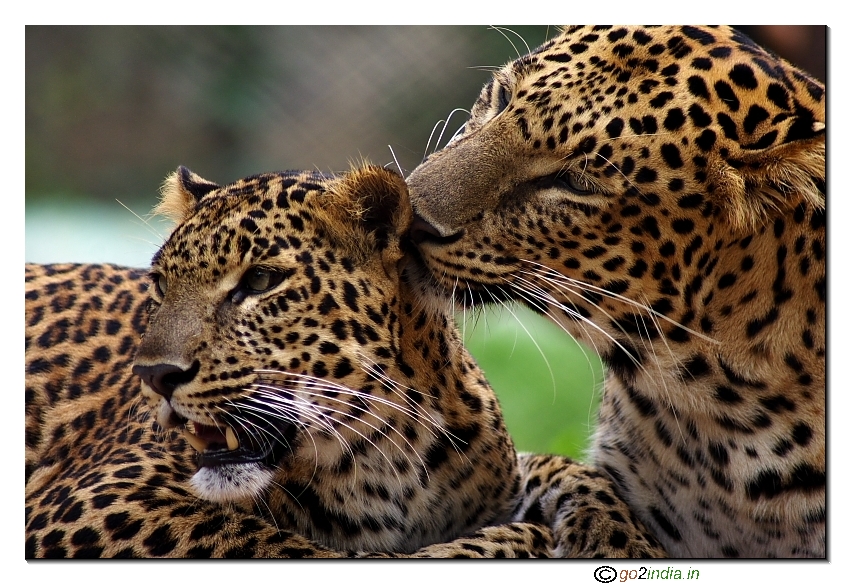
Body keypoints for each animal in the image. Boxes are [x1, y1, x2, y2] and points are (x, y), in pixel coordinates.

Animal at [26, 164, 666, 558]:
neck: (385, 462)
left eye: (260, 281)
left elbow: (564, 469)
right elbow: (299, 550)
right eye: (160, 285)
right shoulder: (101, 500)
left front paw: (611, 534)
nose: (155, 376)